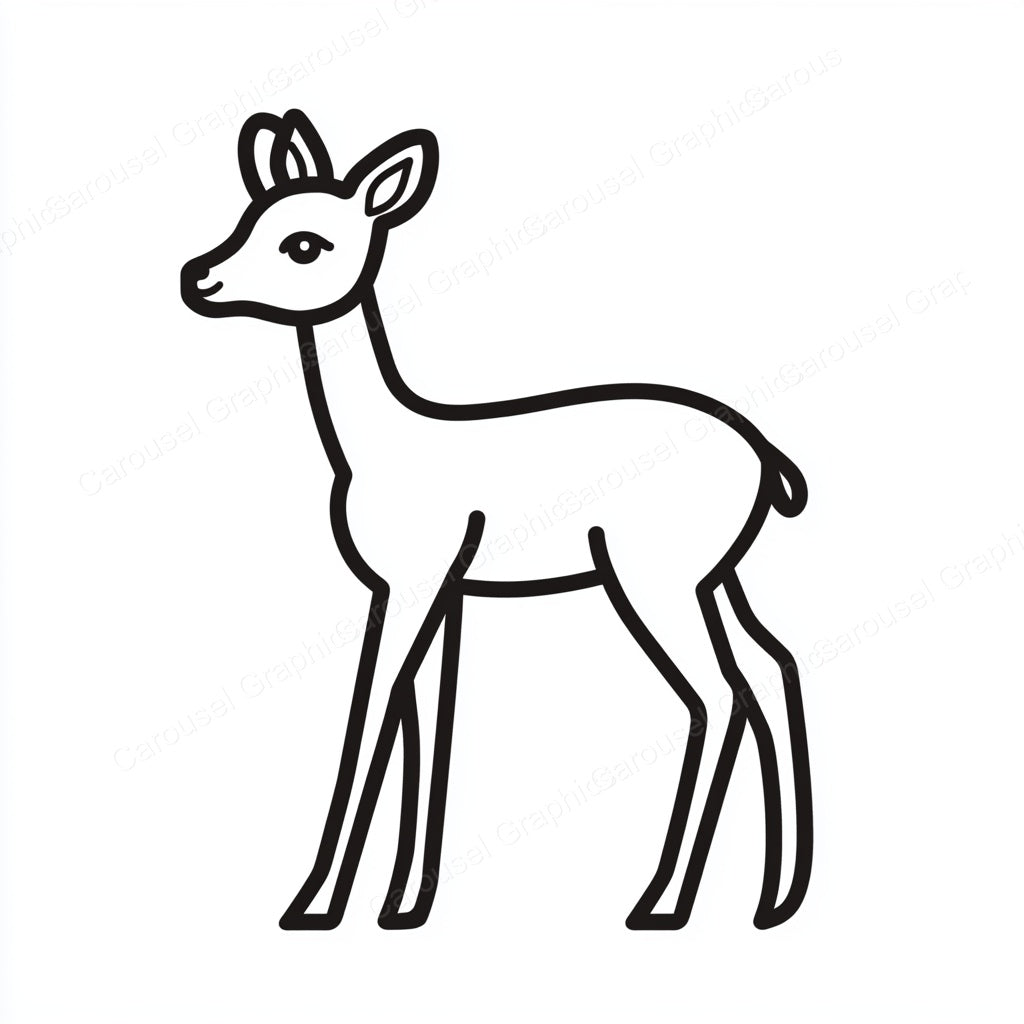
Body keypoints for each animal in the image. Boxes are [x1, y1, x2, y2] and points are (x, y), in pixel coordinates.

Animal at [180, 109, 813, 932]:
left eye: (305, 243)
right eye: (250, 216)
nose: (199, 278)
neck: (381, 443)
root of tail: (765, 454)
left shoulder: (409, 583)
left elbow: (374, 707)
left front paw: (315, 905)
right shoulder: (444, 591)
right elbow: (425, 720)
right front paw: (402, 906)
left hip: (654, 581)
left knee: (716, 693)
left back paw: (660, 904)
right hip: (718, 580)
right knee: (771, 668)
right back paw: (773, 900)